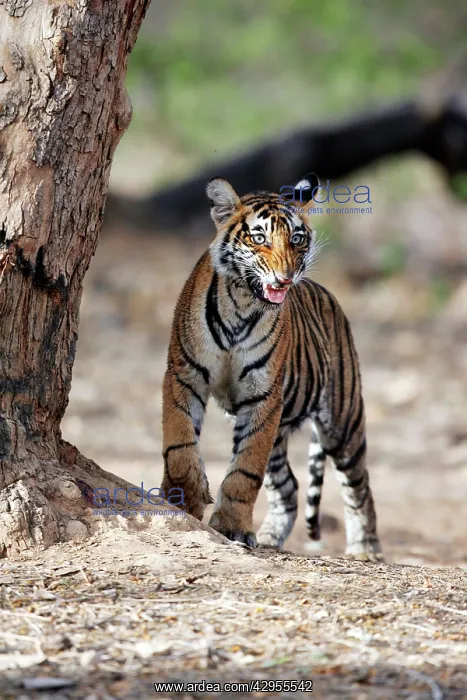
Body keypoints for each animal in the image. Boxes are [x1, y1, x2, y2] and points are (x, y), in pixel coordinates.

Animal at [161, 176, 383, 561]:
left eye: (297, 239)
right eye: (259, 238)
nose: (285, 277)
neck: (242, 303)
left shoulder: (262, 397)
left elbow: (245, 471)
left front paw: (232, 528)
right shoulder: (183, 375)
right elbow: (179, 444)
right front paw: (184, 499)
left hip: (343, 423)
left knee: (360, 489)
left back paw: (365, 551)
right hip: (280, 433)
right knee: (289, 487)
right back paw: (269, 537)